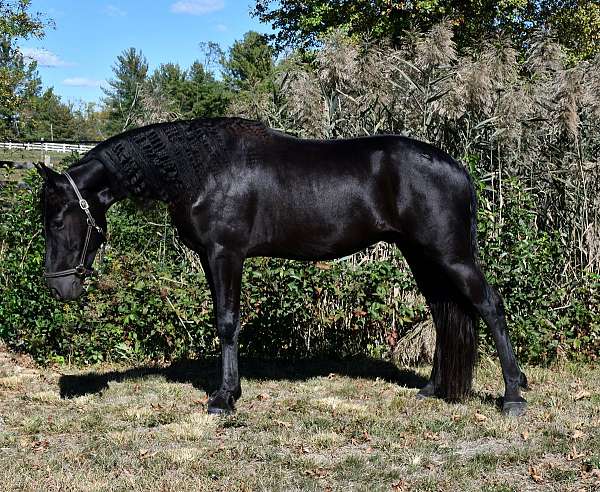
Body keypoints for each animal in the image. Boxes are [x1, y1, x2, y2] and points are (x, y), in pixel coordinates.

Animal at [37, 118, 528, 416]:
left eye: (58, 218)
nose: (59, 288)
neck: (203, 169)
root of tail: (458, 169)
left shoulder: (225, 254)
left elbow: (227, 321)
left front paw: (224, 397)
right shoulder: (210, 257)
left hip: (451, 255)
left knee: (490, 306)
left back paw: (513, 395)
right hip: (422, 257)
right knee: (445, 312)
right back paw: (433, 388)